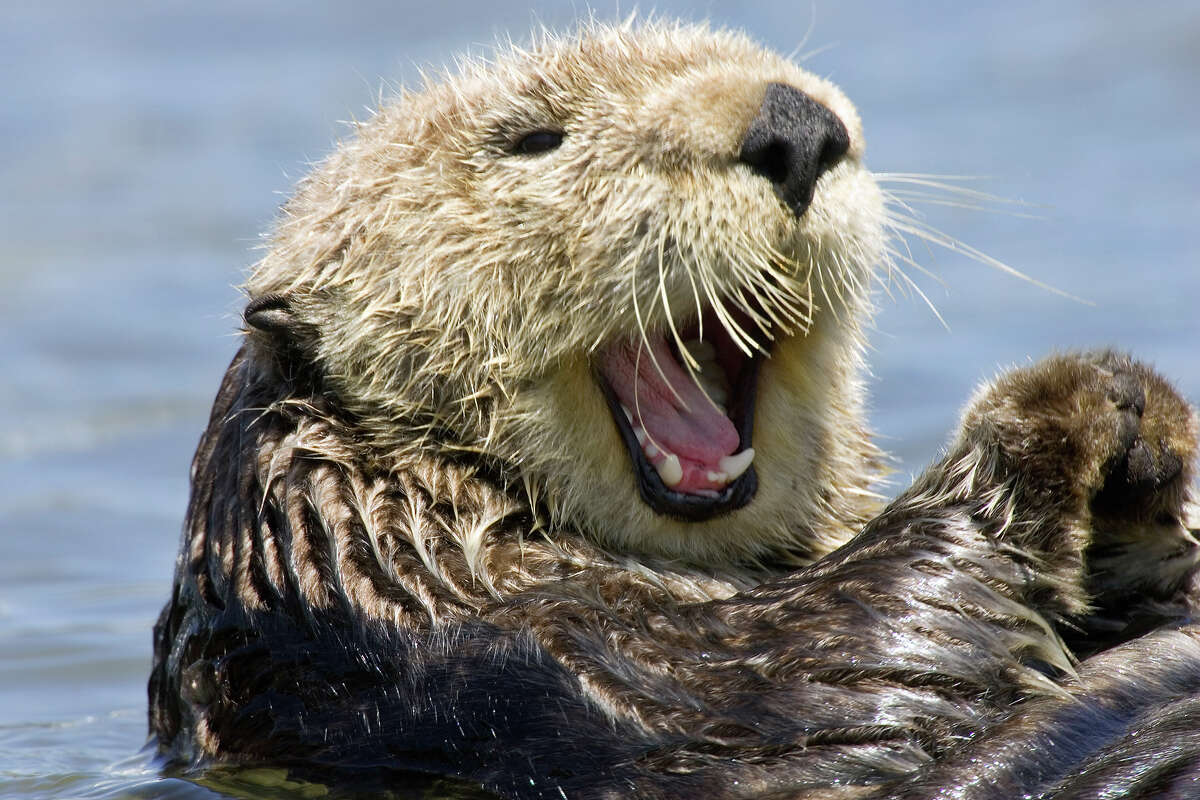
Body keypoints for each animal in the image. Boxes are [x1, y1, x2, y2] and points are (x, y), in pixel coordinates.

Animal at [150, 21, 1200, 796]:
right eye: (532, 138)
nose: (797, 124)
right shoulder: (535, 663)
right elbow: (843, 665)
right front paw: (1070, 403)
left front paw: (1149, 444)